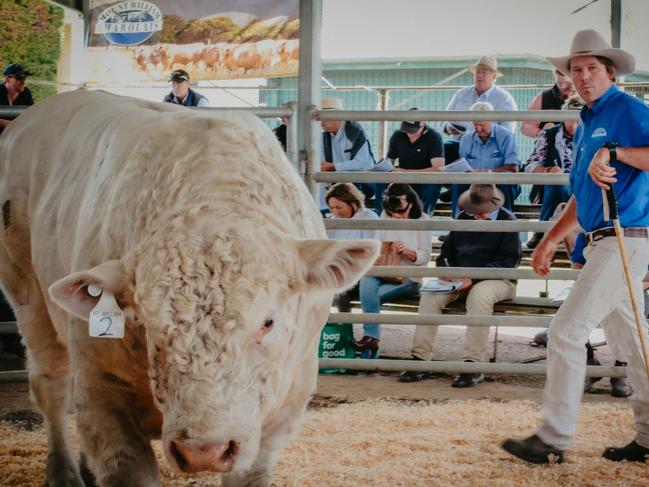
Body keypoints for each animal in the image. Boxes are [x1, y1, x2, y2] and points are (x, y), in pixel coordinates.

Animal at [0, 90, 380, 484]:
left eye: (268, 322)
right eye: (149, 325)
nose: (203, 450)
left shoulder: (286, 405)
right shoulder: (102, 397)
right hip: (29, 298)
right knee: (51, 386)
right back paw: (63, 472)